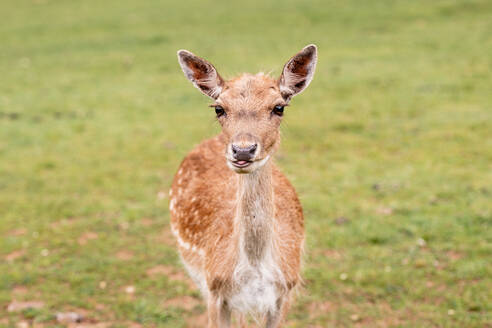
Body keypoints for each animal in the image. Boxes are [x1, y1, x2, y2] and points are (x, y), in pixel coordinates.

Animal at [171, 44, 320, 328]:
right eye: (218, 108)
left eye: (279, 107)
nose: (243, 150)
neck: (253, 274)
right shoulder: (214, 290)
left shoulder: (285, 292)